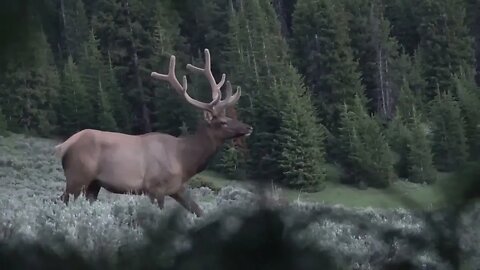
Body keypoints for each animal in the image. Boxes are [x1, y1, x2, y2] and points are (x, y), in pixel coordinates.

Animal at [54, 49, 253, 217]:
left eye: (229, 116)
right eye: (223, 122)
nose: (249, 128)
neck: (184, 160)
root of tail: (63, 146)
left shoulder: (177, 188)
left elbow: (199, 211)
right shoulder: (155, 188)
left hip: (94, 184)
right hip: (77, 177)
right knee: (63, 200)